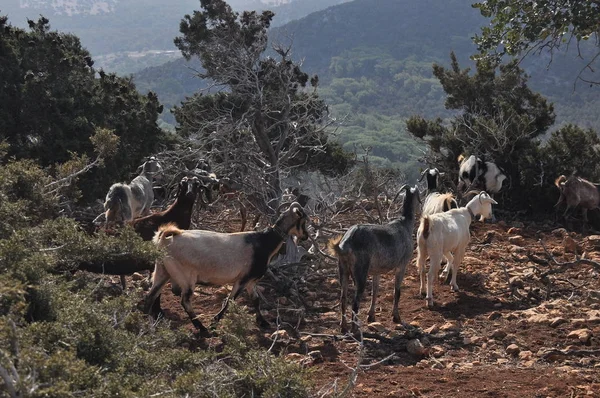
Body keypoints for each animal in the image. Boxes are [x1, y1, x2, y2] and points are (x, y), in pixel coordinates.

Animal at [142, 202, 308, 332]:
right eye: (303, 220)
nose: (305, 236)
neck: (264, 242)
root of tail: (164, 240)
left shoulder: (251, 281)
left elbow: (255, 300)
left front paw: (263, 322)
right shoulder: (243, 279)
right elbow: (230, 300)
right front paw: (214, 322)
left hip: (162, 271)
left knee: (150, 297)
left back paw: (145, 325)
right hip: (186, 277)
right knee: (185, 301)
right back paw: (203, 329)